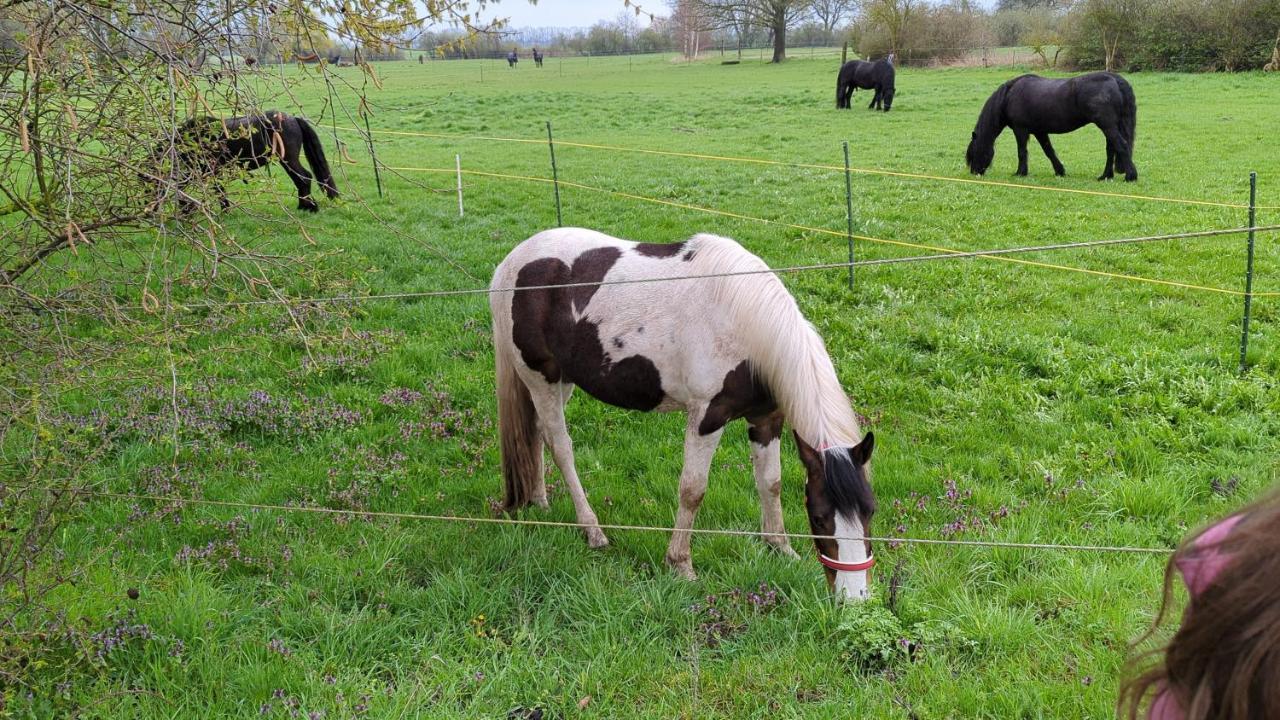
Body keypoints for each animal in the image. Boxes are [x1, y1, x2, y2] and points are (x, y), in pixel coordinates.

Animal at [167, 109, 343, 210]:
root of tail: (293, 118)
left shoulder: (211, 169)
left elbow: (217, 189)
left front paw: (225, 210)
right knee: (300, 180)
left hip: (289, 160)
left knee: (304, 177)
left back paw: (308, 207)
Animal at [488, 226, 880, 597]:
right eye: (819, 517)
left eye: (871, 510)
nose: (854, 596)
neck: (747, 324)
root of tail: (509, 264)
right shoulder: (707, 417)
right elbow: (693, 490)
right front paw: (680, 564)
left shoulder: (767, 420)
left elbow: (771, 483)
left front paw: (780, 547)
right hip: (540, 377)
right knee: (560, 446)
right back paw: (593, 530)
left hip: (562, 380)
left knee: (537, 432)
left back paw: (540, 501)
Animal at [962, 72, 1141, 181]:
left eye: (974, 152)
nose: (975, 172)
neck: (1008, 96)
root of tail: (1115, 79)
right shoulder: (1040, 131)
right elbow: (1049, 151)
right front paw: (1060, 171)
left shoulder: (1021, 130)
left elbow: (1022, 152)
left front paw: (1020, 173)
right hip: (1110, 127)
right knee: (1111, 150)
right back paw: (1105, 176)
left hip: (1107, 126)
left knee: (1121, 146)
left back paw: (1130, 176)